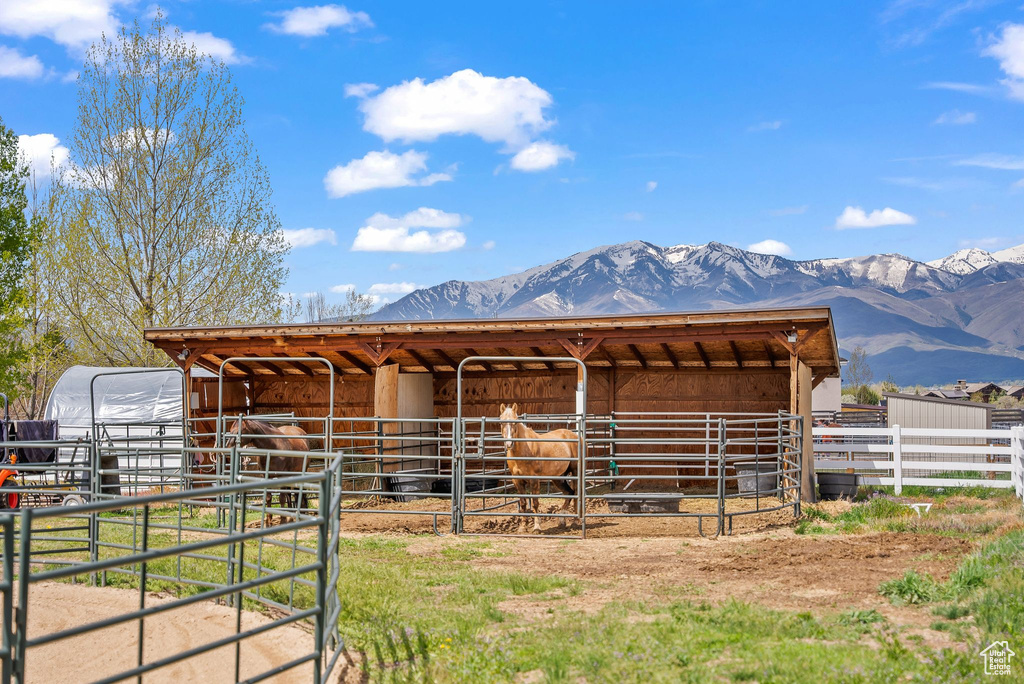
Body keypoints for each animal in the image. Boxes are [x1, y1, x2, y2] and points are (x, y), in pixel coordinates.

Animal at [499, 403, 581, 532]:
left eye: (515, 422)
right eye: (501, 422)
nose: (509, 444)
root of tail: (576, 436)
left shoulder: (534, 480)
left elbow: (535, 503)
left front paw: (537, 526)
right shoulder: (517, 480)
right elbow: (523, 503)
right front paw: (523, 527)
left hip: (575, 472)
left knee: (576, 493)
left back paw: (575, 521)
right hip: (558, 478)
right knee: (570, 493)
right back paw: (562, 521)